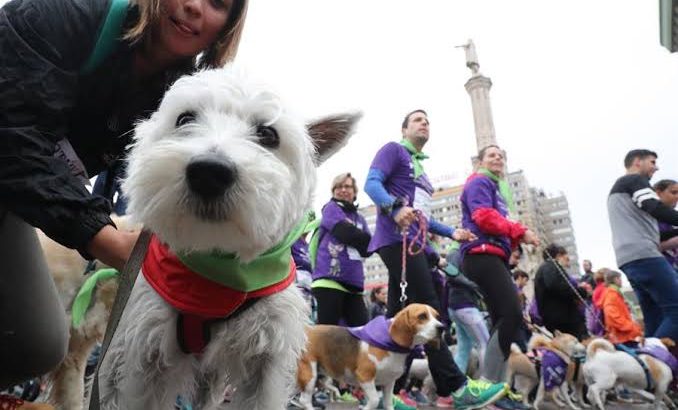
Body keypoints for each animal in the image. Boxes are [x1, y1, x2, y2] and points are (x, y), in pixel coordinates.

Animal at [95, 65, 362, 408]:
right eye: (184, 118)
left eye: (268, 135)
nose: (209, 172)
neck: (219, 268)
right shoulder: (149, 347)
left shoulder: (266, 358)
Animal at [298, 302, 446, 410]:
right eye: (422, 316)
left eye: (437, 316)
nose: (442, 327)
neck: (390, 343)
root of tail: (305, 330)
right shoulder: (365, 376)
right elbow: (374, 400)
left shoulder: (389, 382)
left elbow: (387, 403)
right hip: (309, 375)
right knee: (304, 400)